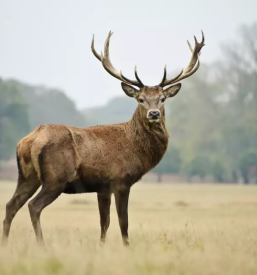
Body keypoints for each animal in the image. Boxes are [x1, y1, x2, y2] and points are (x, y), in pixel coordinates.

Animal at [1, 31, 204, 247]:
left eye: (162, 98)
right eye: (140, 99)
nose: (154, 113)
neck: (135, 147)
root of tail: (29, 140)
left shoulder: (102, 187)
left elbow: (104, 222)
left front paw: (101, 246)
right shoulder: (121, 180)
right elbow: (123, 221)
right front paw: (127, 247)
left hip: (27, 176)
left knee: (11, 205)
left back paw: (5, 243)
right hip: (56, 177)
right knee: (34, 206)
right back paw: (42, 245)